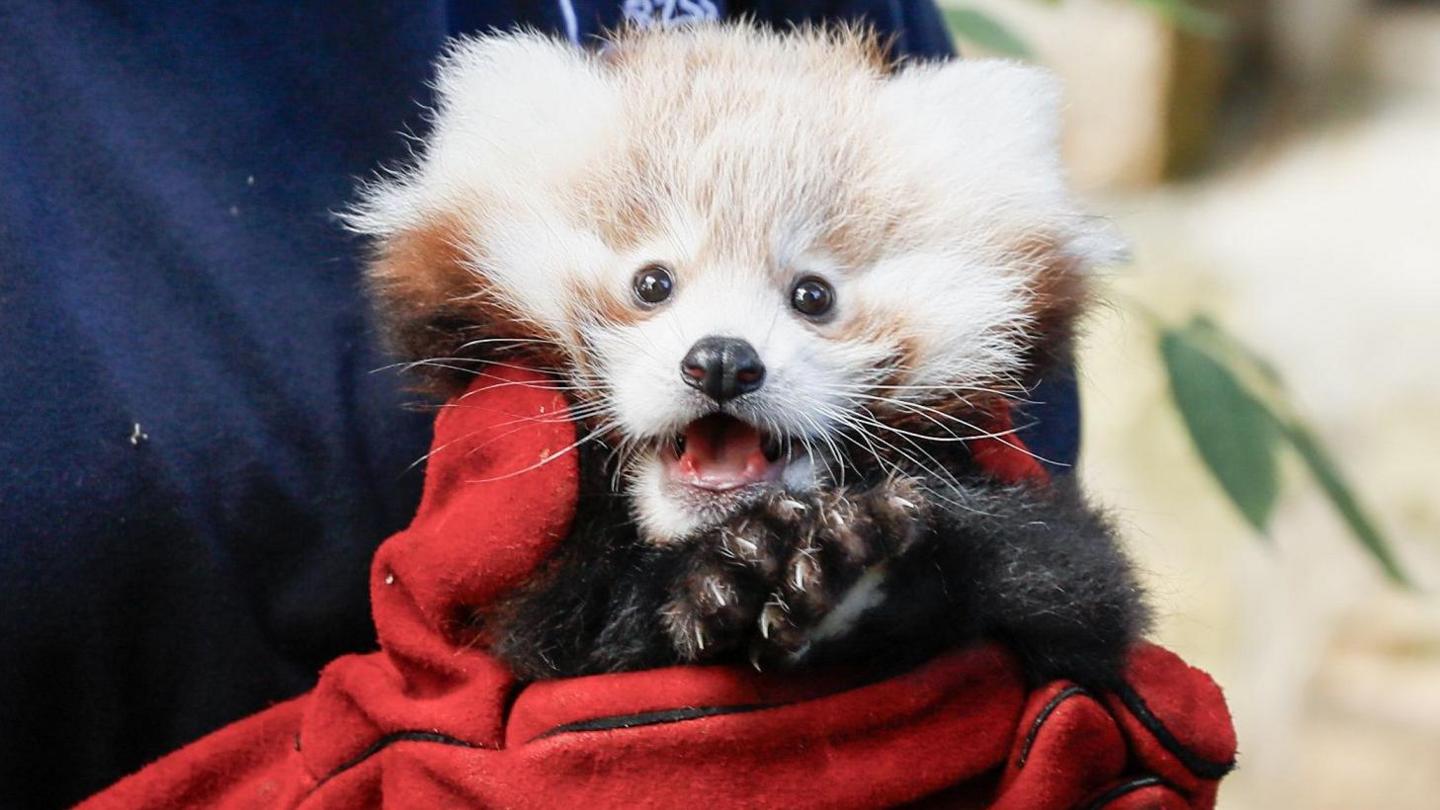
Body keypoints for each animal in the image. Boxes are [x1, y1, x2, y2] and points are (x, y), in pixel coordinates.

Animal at [345, 22, 1146, 683]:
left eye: (813, 295)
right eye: (652, 282)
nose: (724, 361)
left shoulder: (1061, 561)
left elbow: (1069, 579)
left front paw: (855, 575)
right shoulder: (528, 582)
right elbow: (570, 626)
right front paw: (725, 579)